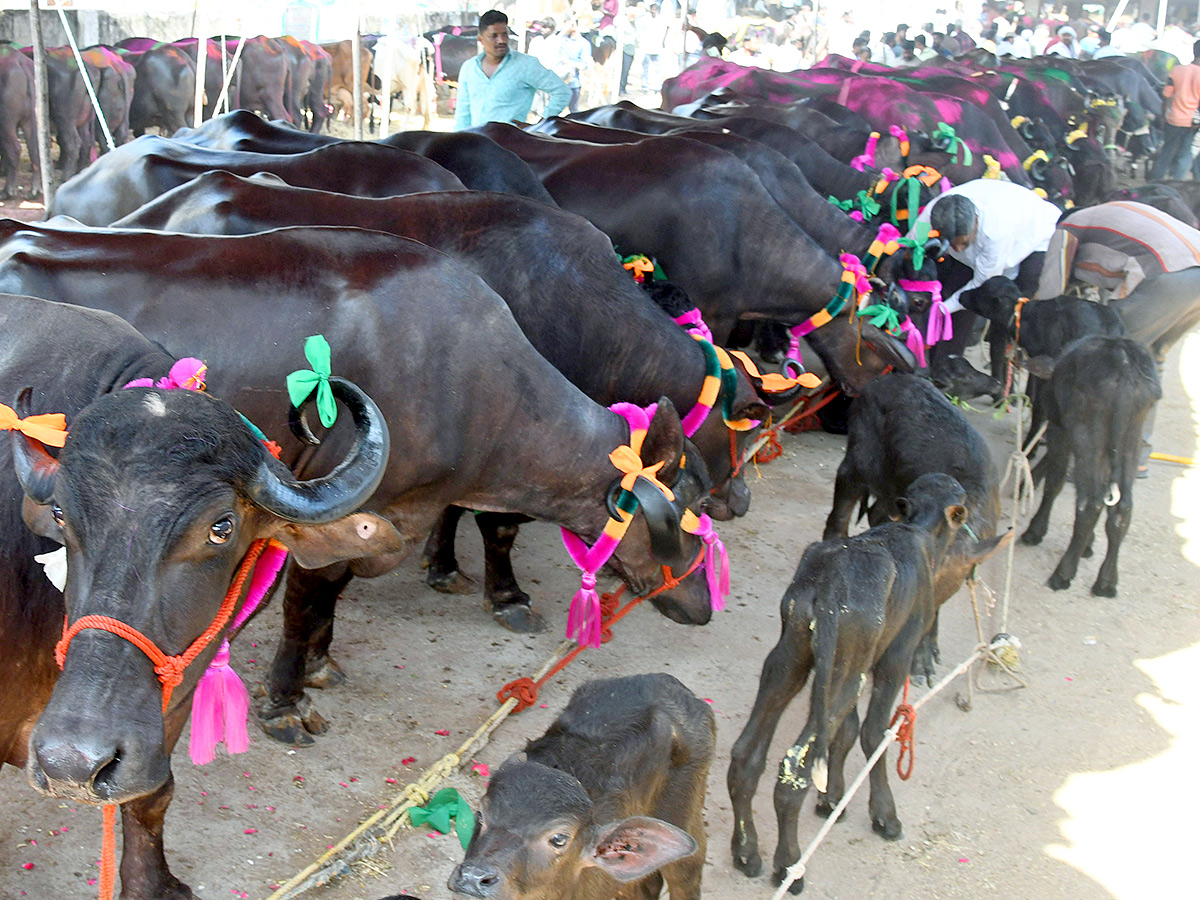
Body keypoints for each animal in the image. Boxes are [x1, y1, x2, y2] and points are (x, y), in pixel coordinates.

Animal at [724, 475, 1008, 892]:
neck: (917, 532)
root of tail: (827, 584)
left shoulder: (858, 659)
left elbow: (846, 731)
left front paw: (832, 800)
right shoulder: (896, 654)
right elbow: (875, 732)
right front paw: (884, 816)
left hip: (794, 657)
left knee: (747, 754)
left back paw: (746, 853)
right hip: (847, 668)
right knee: (794, 769)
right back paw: (788, 866)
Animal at [1017, 338, 1156, 600]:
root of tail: (1125, 367)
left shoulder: (1060, 431)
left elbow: (1055, 482)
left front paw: (1036, 531)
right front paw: (1088, 545)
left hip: (1087, 436)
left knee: (1090, 503)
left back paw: (1063, 574)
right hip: (1130, 441)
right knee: (1121, 507)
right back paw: (1106, 581)